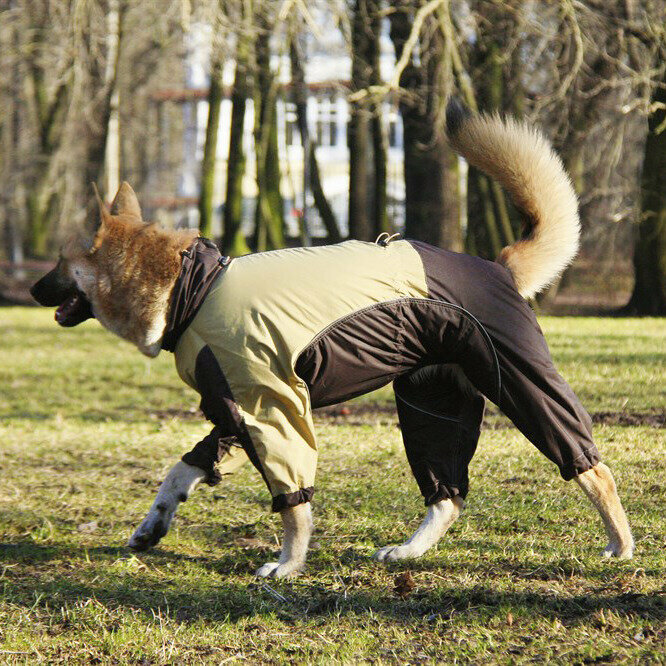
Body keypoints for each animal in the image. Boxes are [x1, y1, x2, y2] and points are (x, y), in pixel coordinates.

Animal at [32, 102, 632, 576]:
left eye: (60, 261)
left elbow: (293, 504)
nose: (35, 289)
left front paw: (288, 564)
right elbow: (183, 469)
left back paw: (619, 545)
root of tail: (498, 265)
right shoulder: (235, 413)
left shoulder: (274, 411)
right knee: (447, 496)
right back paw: (408, 552)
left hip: (522, 385)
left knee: (590, 465)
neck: (192, 287)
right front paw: (152, 527)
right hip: (431, 405)